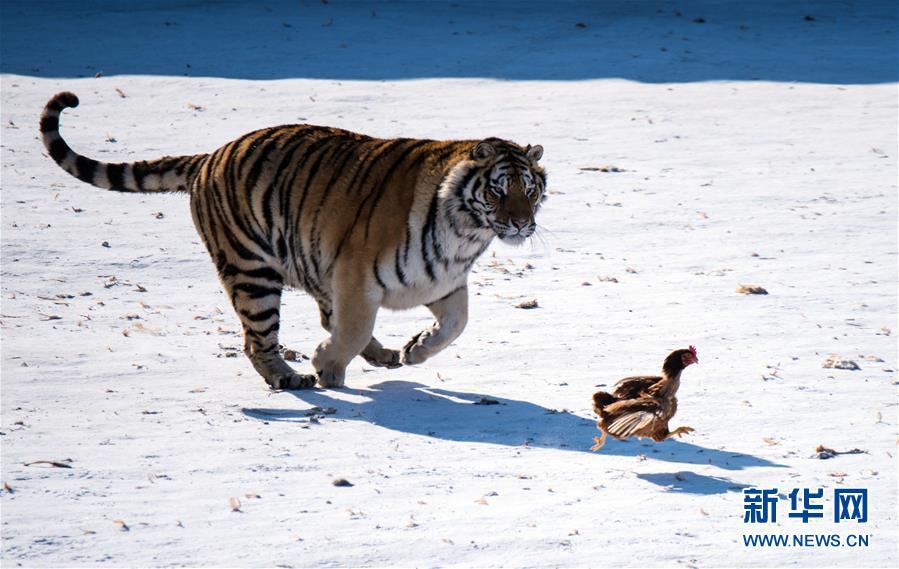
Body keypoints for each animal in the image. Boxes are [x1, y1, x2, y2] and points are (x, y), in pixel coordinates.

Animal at [40, 92, 548, 390]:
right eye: (498, 190)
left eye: (530, 189)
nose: (521, 224)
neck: (466, 233)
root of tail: (210, 156)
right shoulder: (356, 275)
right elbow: (352, 326)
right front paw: (326, 364)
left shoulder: (439, 280)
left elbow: (457, 324)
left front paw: (415, 349)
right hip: (252, 271)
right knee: (259, 339)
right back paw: (292, 378)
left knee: (321, 318)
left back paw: (383, 356)